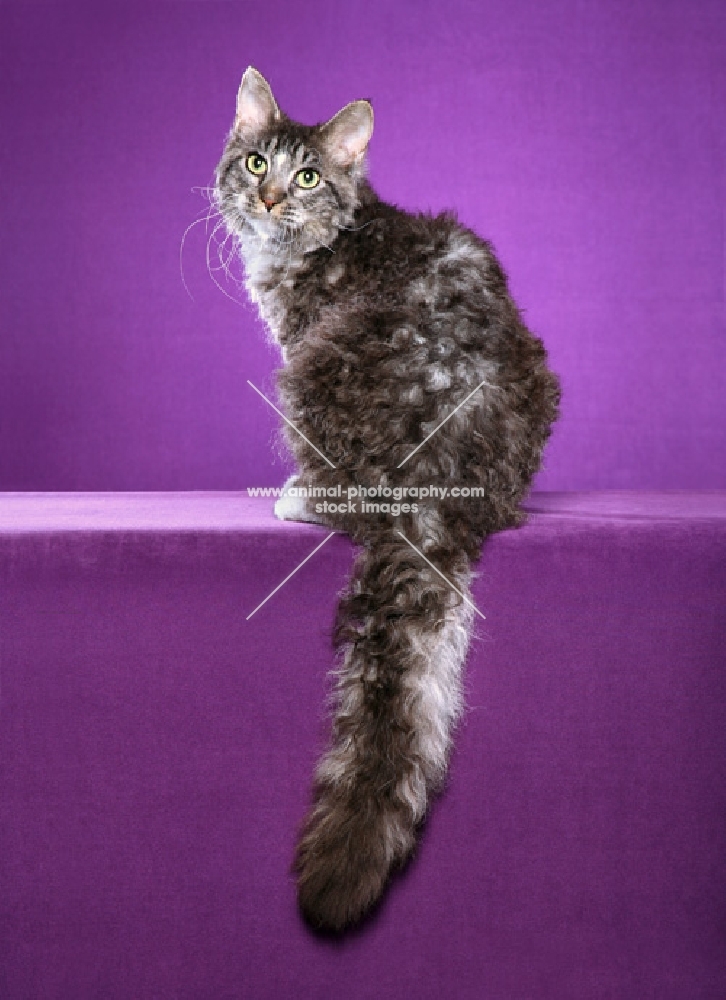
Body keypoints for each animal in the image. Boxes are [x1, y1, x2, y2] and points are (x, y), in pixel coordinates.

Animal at [213, 66, 560, 932]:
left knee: (349, 500)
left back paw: (295, 498)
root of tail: (441, 476)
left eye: (306, 176)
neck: (314, 242)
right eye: (255, 163)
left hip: (311, 372)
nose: (269, 197)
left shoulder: (301, 332)